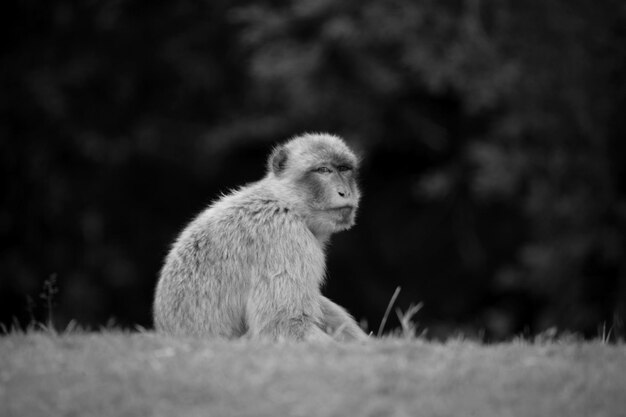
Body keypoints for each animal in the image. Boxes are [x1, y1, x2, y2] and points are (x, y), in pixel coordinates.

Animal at [153, 132, 366, 342]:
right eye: (323, 170)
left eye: (344, 169)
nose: (344, 192)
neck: (286, 202)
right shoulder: (284, 237)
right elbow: (283, 324)